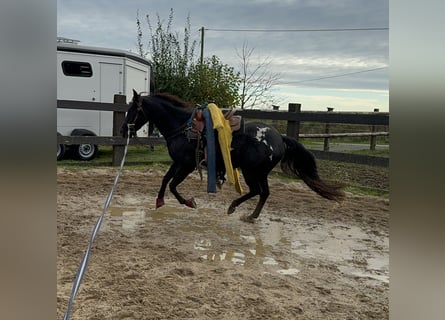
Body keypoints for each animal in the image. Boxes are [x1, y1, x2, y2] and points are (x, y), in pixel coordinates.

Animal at [121, 89, 344, 221]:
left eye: (132, 109)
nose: (123, 131)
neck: (184, 127)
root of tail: (279, 138)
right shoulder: (178, 162)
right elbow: (165, 179)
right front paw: (159, 201)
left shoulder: (186, 165)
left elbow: (174, 185)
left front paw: (190, 202)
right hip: (258, 172)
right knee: (264, 193)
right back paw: (251, 215)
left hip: (252, 171)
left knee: (258, 191)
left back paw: (235, 208)